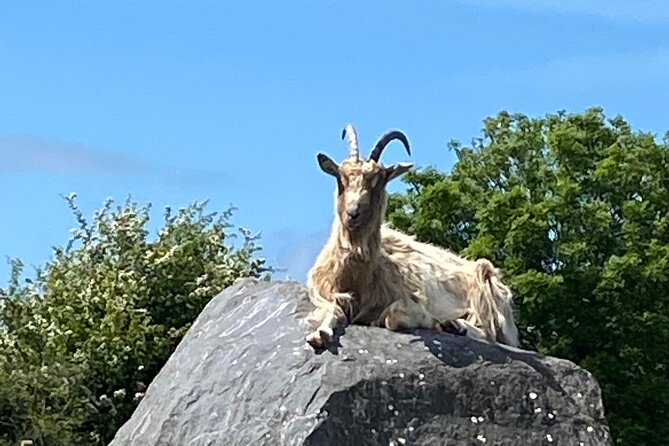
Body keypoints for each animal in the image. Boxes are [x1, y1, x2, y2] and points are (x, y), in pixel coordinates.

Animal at [306, 124, 520, 348]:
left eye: (379, 180)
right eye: (341, 178)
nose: (352, 213)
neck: (356, 277)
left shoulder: (410, 299)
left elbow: (392, 318)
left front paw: (434, 322)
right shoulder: (325, 291)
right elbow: (332, 310)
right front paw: (319, 335)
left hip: (485, 284)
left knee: (489, 333)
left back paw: (454, 325)